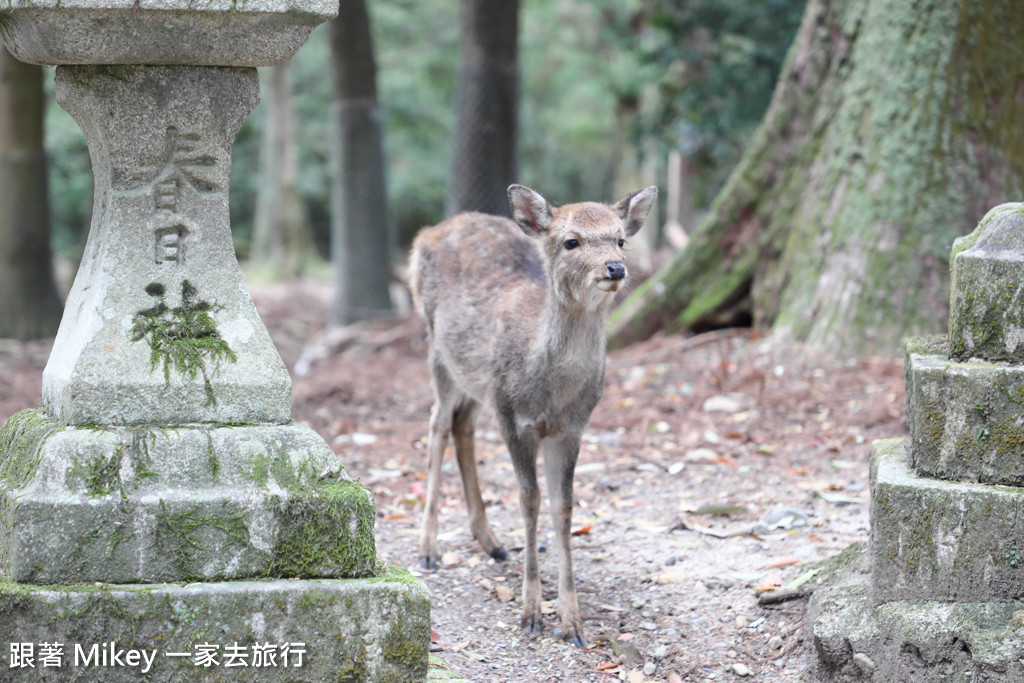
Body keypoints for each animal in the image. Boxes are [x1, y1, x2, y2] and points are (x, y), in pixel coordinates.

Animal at [407, 184, 655, 651]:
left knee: (463, 424)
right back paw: (428, 548)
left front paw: (573, 622)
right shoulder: (513, 418)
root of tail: (426, 234)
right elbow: (529, 499)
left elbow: (564, 506)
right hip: (437, 350)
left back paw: (491, 542)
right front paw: (530, 612)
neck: (552, 394)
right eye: (571, 241)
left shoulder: (571, 429)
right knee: (437, 424)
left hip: (478, 381)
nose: (615, 268)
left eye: (620, 239)